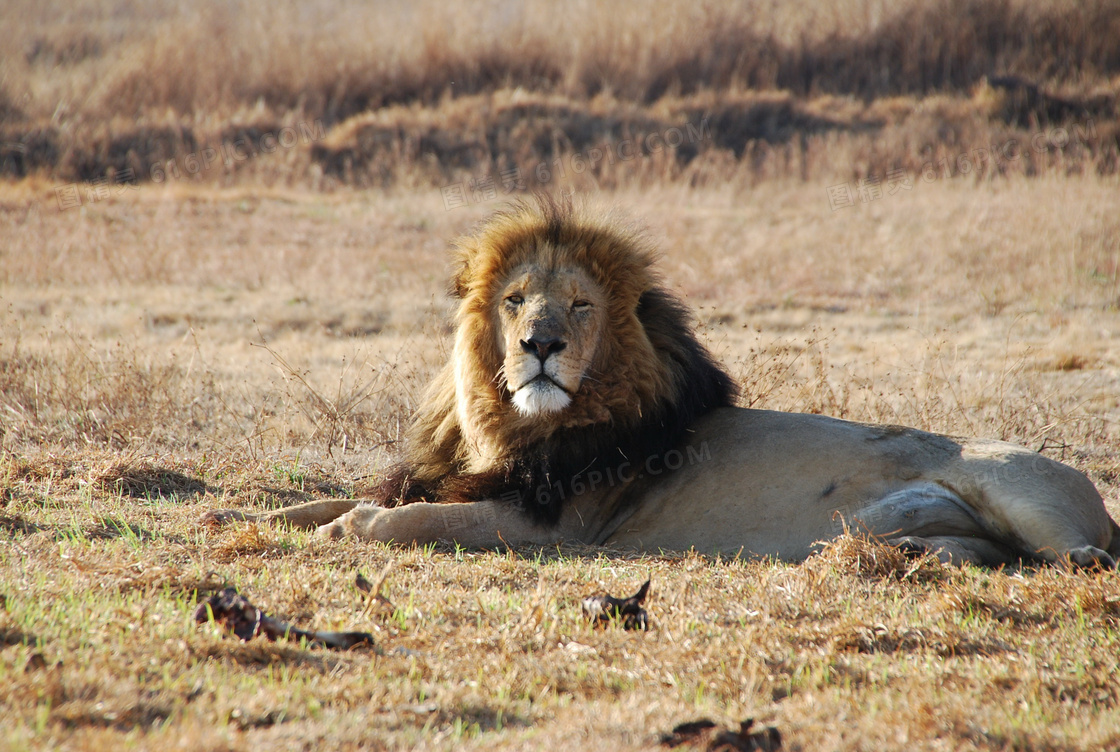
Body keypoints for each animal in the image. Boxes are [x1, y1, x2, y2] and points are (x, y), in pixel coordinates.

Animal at [203, 197, 1120, 567]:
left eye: (579, 304)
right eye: (513, 301)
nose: (539, 344)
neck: (503, 426)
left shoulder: (555, 527)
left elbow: (412, 520)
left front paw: (348, 528)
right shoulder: (463, 474)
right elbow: (330, 498)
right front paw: (235, 518)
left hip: (1015, 486)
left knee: (1074, 556)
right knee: (980, 553)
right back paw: (909, 556)